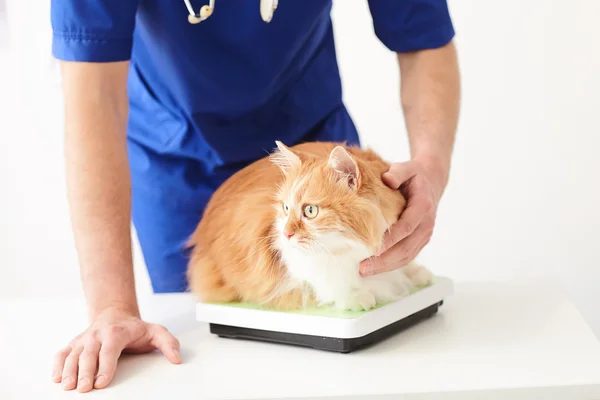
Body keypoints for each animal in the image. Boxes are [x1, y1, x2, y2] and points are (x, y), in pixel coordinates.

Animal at [188, 141, 432, 312]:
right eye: (286, 208)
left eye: (310, 211)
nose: (286, 233)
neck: (351, 249)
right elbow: (324, 280)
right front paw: (354, 296)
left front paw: (414, 273)